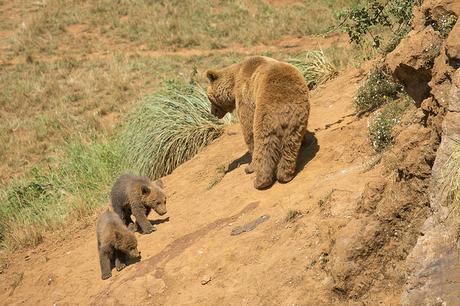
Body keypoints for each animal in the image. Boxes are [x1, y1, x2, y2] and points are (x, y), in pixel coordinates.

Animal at [208, 55, 310, 189]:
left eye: (209, 98)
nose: (212, 112)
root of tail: (285, 107)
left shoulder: (245, 96)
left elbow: (248, 129)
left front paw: (249, 165)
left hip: (266, 115)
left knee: (263, 144)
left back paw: (259, 180)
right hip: (297, 119)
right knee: (290, 144)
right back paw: (285, 175)